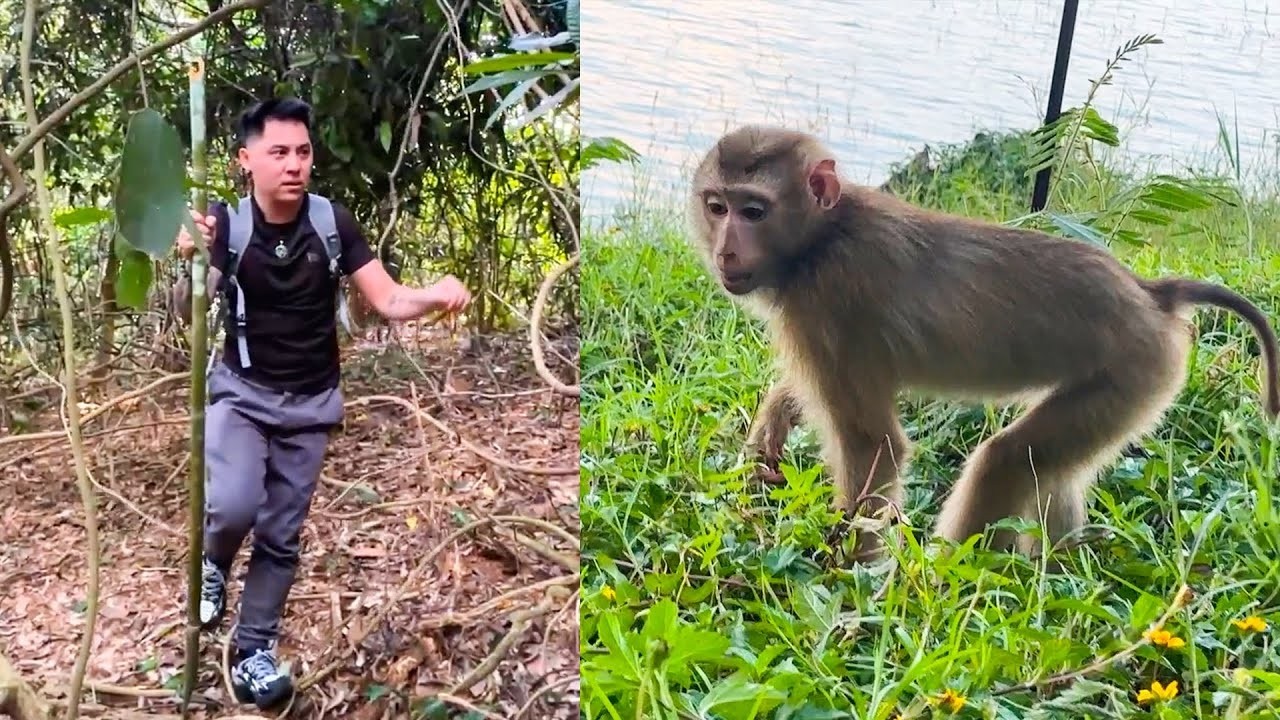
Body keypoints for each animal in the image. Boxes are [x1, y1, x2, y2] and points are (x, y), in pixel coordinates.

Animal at [687, 125, 1280, 564]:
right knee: (1052, 470)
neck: (821, 237)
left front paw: (847, 579)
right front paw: (773, 425)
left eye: (753, 211)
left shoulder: (828, 304)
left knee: (1008, 461)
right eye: (717, 207)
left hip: (1138, 369)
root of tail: (1149, 293)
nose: (726, 252)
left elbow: (876, 448)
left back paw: (935, 584)